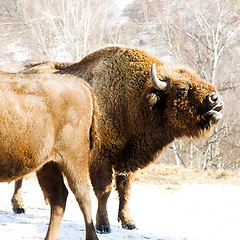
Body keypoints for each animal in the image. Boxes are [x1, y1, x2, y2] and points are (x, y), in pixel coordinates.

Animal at [18, 45, 223, 232]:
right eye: (181, 90)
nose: (215, 99)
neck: (136, 99)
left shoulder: (127, 162)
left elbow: (125, 190)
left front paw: (128, 222)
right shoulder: (100, 159)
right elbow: (104, 191)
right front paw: (103, 224)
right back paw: (18, 206)